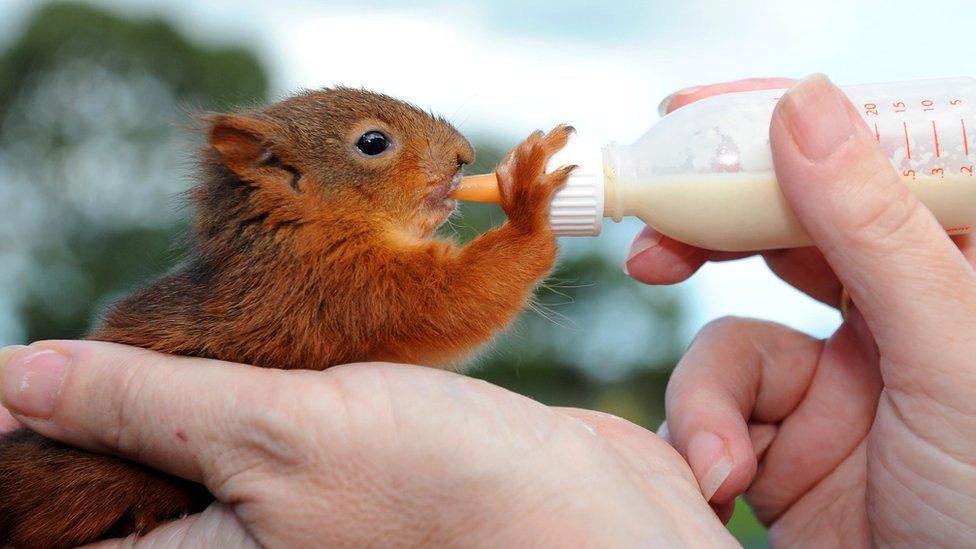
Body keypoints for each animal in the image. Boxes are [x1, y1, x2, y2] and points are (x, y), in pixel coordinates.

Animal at [0, 87, 575, 548]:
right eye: (372, 143)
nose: (465, 156)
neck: (302, 230)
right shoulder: (339, 288)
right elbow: (451, 299)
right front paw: (529, 200)